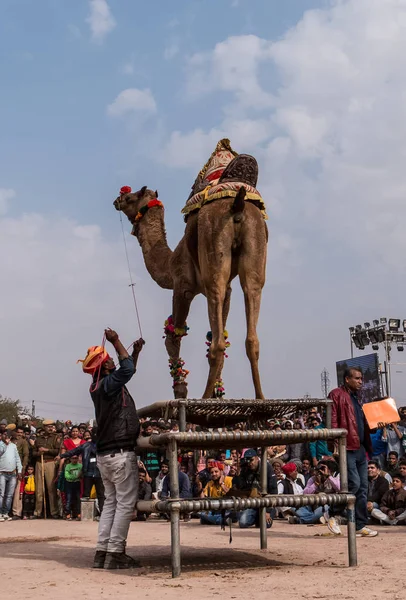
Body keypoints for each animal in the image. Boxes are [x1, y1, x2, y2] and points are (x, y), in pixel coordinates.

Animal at [113, 139, 270, 398]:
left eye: (130, 198)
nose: (116, 200)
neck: (169, 261)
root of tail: (237, 203)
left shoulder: (182, 286)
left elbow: (173, 336)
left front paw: (181, 390)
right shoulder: (227, 293)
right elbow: (219, 331)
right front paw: (217, 392)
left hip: (213, 246)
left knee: (217, 342)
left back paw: (204, 399)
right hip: (256, 241)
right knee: (252, 324)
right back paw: (260, 398)